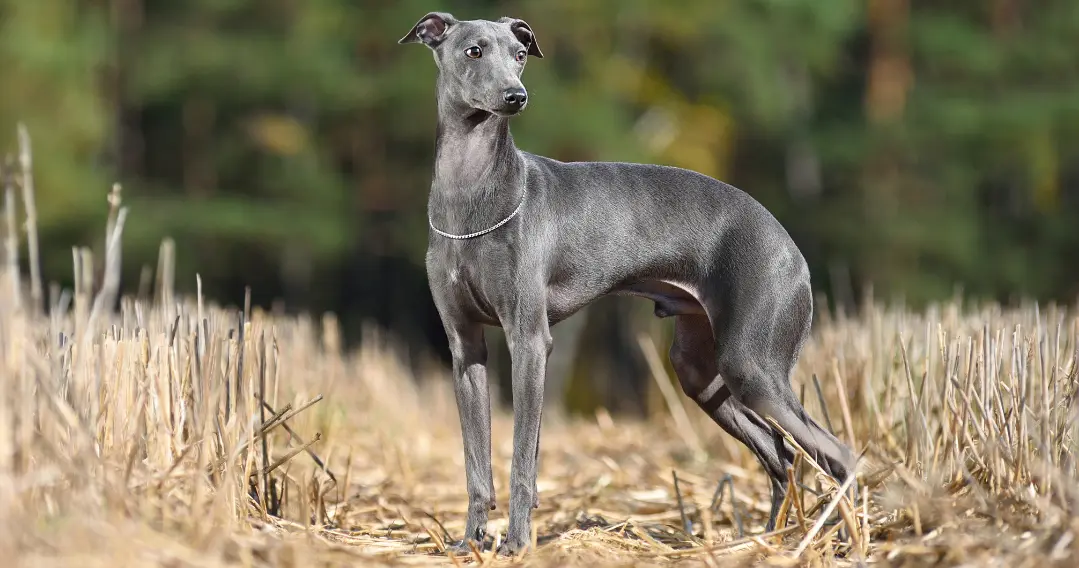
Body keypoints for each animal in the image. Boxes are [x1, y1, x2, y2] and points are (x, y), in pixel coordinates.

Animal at [399, 11, 858, 557]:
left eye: (519, 53)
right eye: (473, 51)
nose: (516, 96)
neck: (470, 196)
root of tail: (790, 247)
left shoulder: (529, 341)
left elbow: (524, 459)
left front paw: (517, 543)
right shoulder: (465, 347)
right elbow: (476, 463)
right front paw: (470, 541)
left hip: (752, 366)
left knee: (838, 453)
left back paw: (848, 538)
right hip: (701, 373)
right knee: (780, 453)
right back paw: (771, 541)